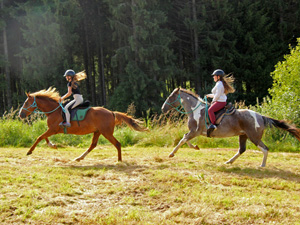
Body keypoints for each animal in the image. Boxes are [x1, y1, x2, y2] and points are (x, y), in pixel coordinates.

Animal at [18, 87, 148, 162]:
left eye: (26, 103)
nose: (20, 115)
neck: (54, 110)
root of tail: (111, 112)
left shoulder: (53, 129)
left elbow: (39, 137)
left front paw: (29, 151)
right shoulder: (52, 129)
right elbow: (44, 138)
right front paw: (53, 145)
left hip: (106, 132)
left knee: (117, 144)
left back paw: (119, 161)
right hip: (98, 132)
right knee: (93, 145)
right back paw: (79, 158)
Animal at [162, 88, 300, 167]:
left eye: (170, 97)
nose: (163, 108)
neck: (195, 110)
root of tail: (260, 116)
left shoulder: (195, 131)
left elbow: (183, 140)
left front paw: (171, 154)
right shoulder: (194, 132)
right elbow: (185, 139)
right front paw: (195, 147)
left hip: (254, 137)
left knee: (265, 149)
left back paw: (262, 165)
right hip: (243, 135)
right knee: (242, 149)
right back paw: (229, 162)